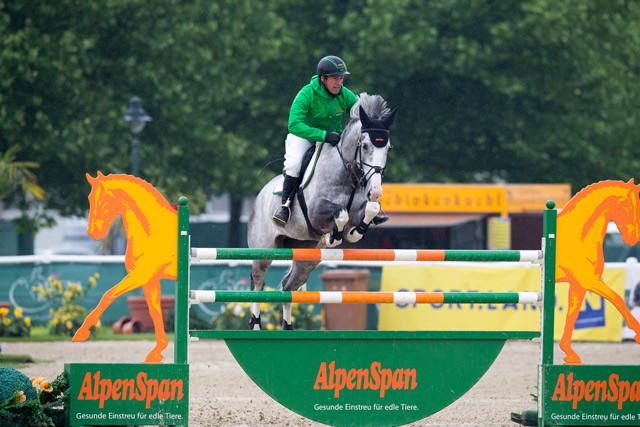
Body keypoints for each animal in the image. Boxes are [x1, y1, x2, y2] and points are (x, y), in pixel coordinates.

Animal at [72, 172, 178, 362]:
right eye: (90, 198)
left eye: (105, 199)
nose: (92, 232)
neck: (151, 230)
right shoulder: (150, 281)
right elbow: (155, 312)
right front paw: (156, 352)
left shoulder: (139, 276)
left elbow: (108, 295)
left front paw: (82, 332)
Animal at [245, 92, 396, 330]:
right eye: (364, 146)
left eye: (388, 147)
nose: (375, 191)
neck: (348, 176)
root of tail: (259, 195)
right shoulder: (317, 212)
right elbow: (341, 213)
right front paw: (334, 236)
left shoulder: (361, 209)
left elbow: (369, 210)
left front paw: (354, 233)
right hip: (264, 250)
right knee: (257, 282)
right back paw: (256, 325)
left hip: (306, 254)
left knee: (288, 285)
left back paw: (287, 327)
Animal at [556, 179, 640, 362]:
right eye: (626, 207)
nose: (634, 239)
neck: (579, 235)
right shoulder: (589, 281)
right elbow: (617, 299)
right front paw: (638, 333)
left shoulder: (579, 285)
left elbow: (572, 314)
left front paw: (569, 353)